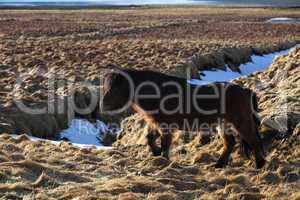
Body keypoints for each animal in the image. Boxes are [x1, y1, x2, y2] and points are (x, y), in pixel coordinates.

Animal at [101, 69, 264, 169]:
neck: (158, 93)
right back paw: (218, 165)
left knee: (254, 141)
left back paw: (259, 165)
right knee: (229, 143)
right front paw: (156, 154)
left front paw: (164, 160)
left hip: (241, 122)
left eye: (115, 87)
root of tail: (246, 90)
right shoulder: (155, 123)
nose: (102, 106)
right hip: (224, 124)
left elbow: (165, 144)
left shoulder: (166, 126)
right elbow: (150, 139)